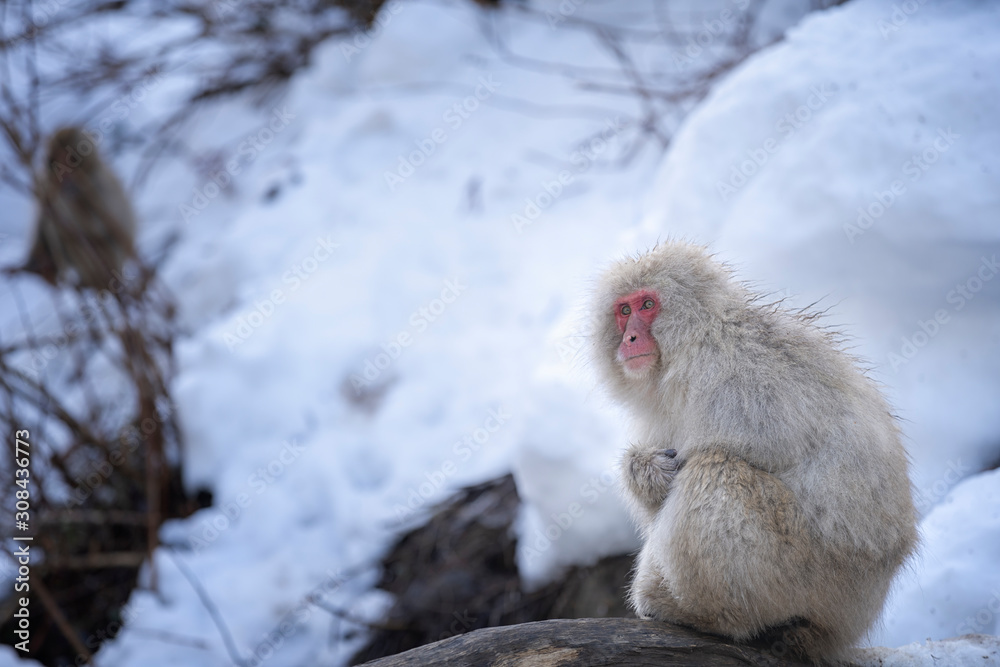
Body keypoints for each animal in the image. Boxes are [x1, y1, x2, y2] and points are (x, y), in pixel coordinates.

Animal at [21, 127, 137, 290]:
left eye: (72, 160)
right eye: (56, 160)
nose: (65, 177)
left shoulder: (94, 186)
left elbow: (101, 228)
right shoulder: (47, 183)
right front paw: (36, 258)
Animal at [590, 242, 917, 663]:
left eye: (647, 304)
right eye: (624, 310)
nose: (629, 338)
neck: (695, 341)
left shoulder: (732, 377)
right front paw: (644, 472)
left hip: (808, 573)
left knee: (714, 471)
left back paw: (703, 614)